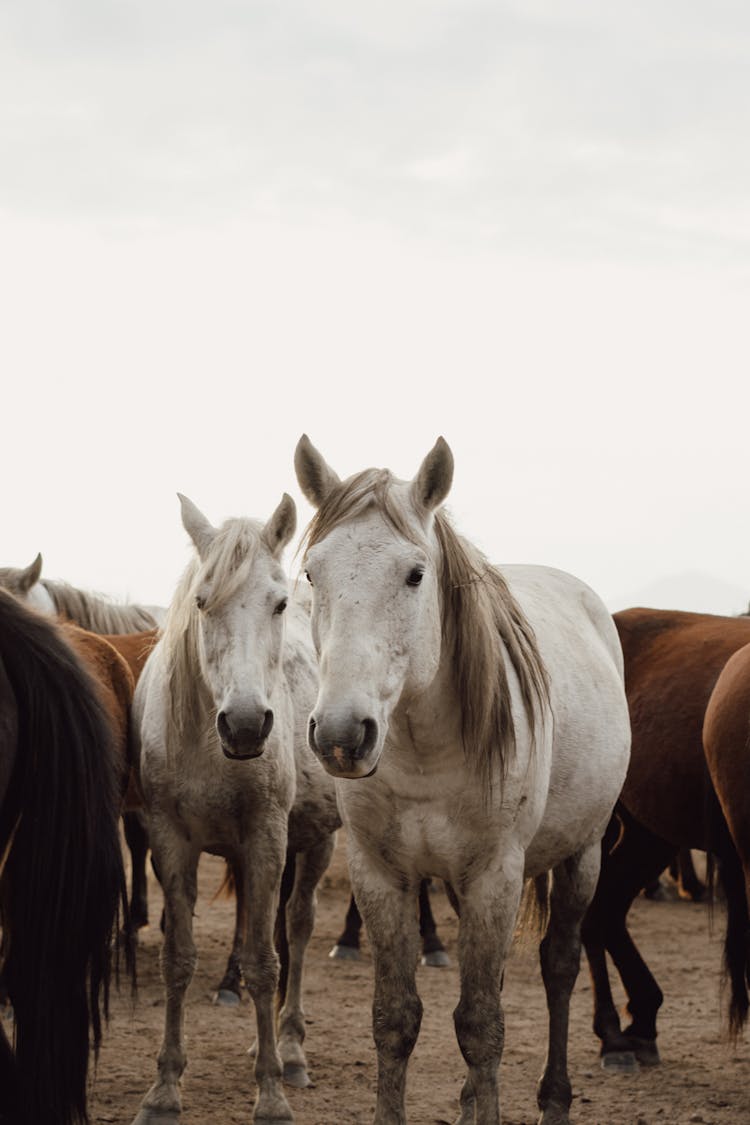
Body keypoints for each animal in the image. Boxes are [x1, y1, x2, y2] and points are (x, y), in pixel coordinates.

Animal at [131, 495, 337, 1125]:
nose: (245, 725)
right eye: (202, 602)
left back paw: (290, 1048)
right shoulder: (169, 840)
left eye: (279, 603)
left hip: (316, 841)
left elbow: (265, 963)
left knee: (297, 925)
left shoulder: (267, 835)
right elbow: (178, 958)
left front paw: (269, 1093)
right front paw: (164, 1088)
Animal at [296, 434, 629, 1125]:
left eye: (415, 574)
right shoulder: (382, 876)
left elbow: (481, 1026)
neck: (425, 753)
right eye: (313, 573)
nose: (341, 732)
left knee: (559, 966)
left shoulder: (495, 875)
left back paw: (555, 1098)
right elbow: (396, 1020)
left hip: (581, 855)